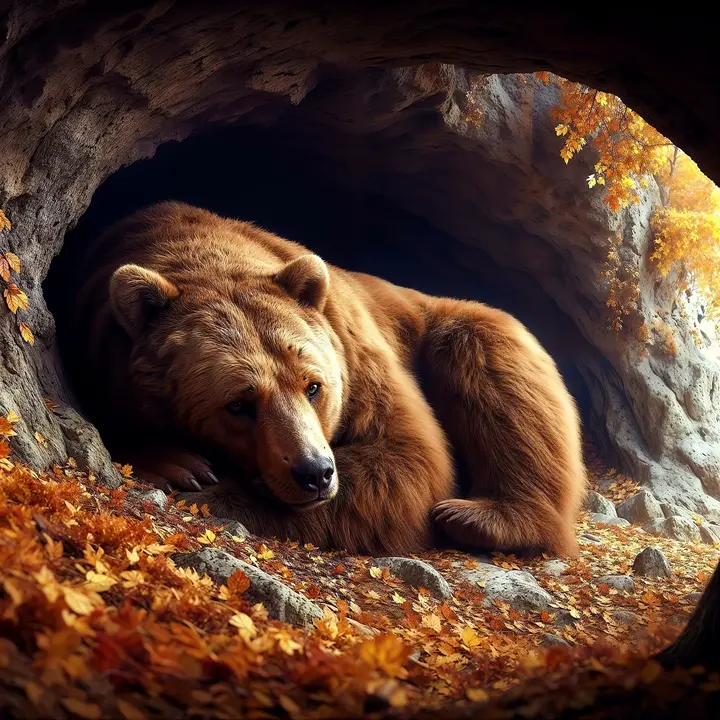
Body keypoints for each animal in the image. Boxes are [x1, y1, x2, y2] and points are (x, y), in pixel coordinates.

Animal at [69, 201, 586, 557]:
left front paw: (211, 490)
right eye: (238, 403)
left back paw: (482, 516)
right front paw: (179, 463)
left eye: (313, 385)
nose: (315, 472)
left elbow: (406, 456)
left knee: (494, 372)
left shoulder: (356, 352)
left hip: (443, 325)